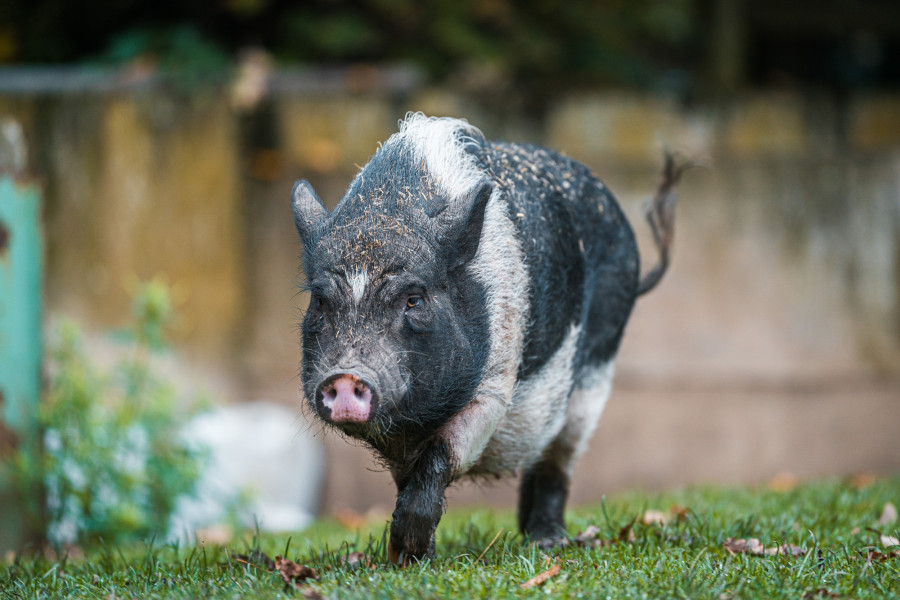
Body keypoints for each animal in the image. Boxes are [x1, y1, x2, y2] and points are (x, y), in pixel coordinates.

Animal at [291, 113, 689, 565]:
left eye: (414, 298)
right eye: (320, 301)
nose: (344, 376)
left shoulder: (494, 387)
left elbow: (442, 455)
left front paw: (409, 554)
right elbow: (408, 479)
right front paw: (411, 557)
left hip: (597, 371)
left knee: (558, 462)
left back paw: (546, 541)